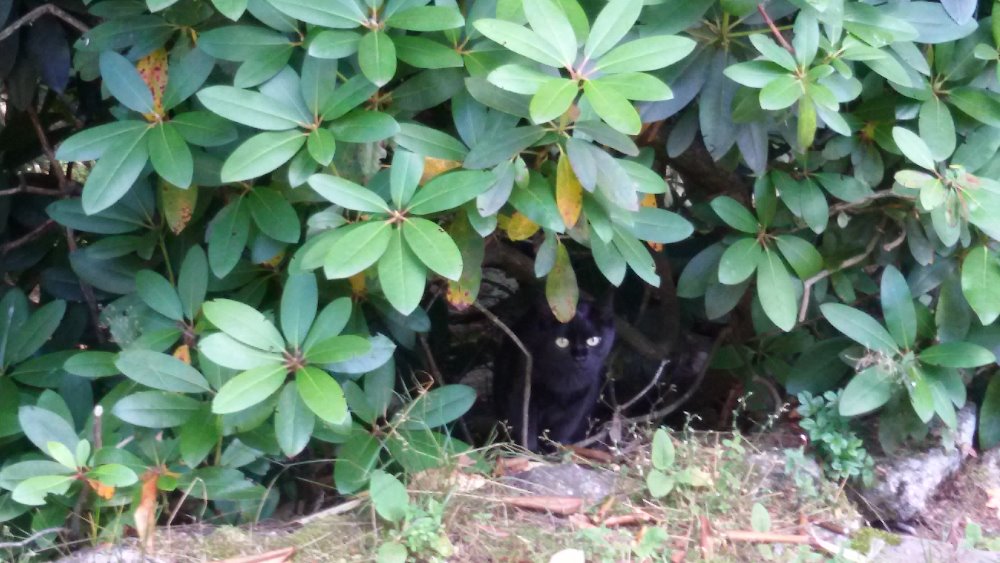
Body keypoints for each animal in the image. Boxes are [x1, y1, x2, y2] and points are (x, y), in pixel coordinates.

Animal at [493, 296, 616, 452]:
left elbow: (563, 430)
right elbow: (525, 426)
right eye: (562, 342)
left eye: (593, 340)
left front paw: (554, 450)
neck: (565, 383)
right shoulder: (521, 392)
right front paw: (531, 452)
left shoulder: (579, 402)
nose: (580, 356)